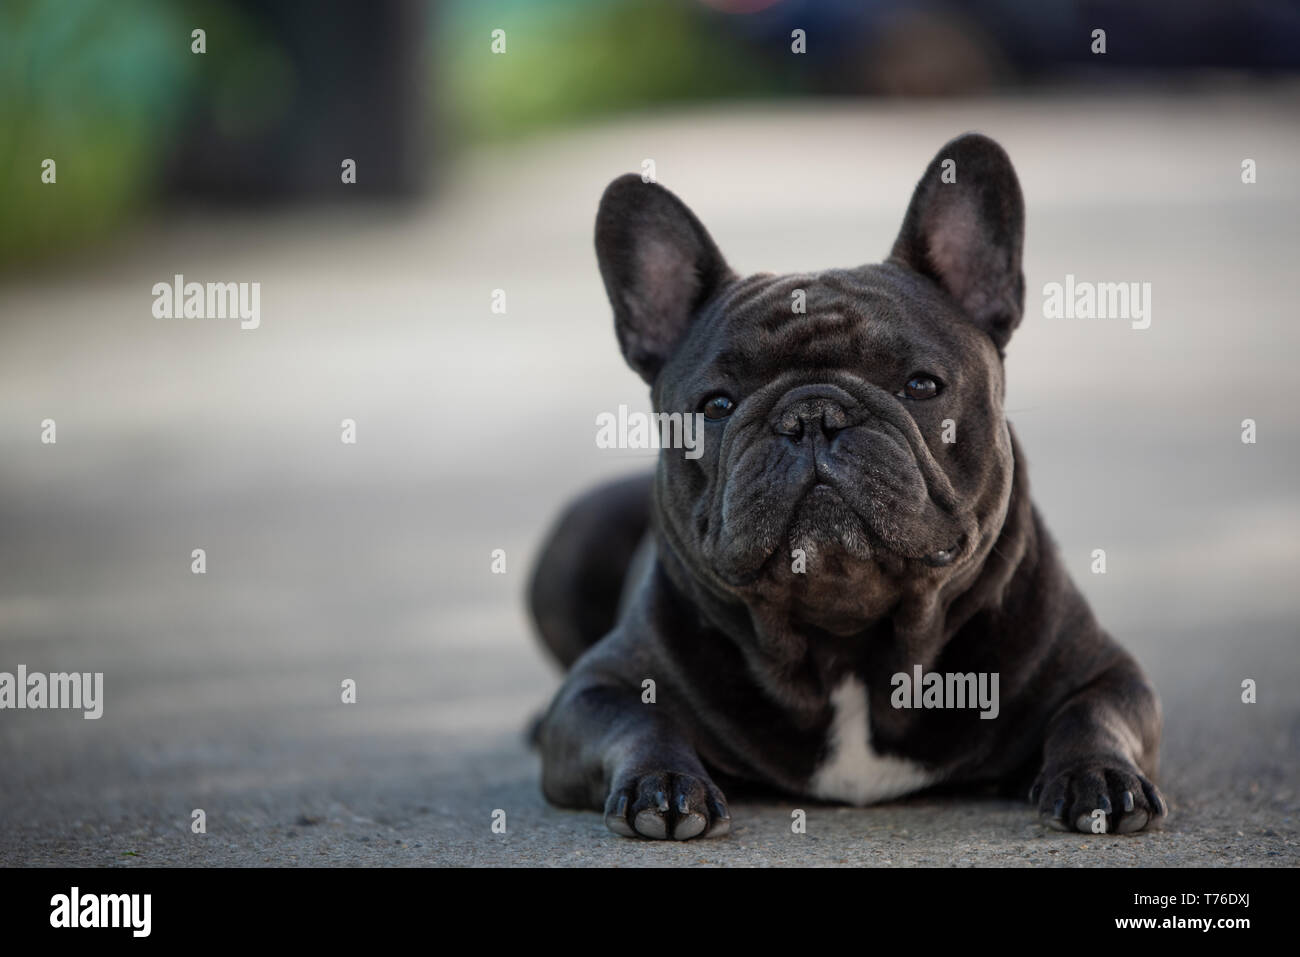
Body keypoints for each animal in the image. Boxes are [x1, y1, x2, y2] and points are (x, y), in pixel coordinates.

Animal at [527, 132, 1170, 837]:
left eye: (921, 385)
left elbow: (1094, 714)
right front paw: (662, 783)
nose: (812, 414)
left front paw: (1099, 776)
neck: (848, 648)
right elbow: (639, 721)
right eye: (717, 405)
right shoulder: (598, 689)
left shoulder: (1105, 670)